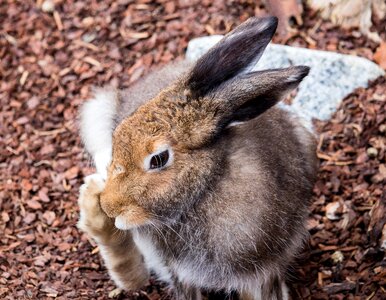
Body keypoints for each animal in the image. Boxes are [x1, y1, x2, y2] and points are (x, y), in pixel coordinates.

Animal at [77, 17, 316, 300]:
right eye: (118, 135)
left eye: (158, 159)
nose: (110, 206)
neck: (208, 186)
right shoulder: (180, 272)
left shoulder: (262, 272)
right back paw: (92, 204)